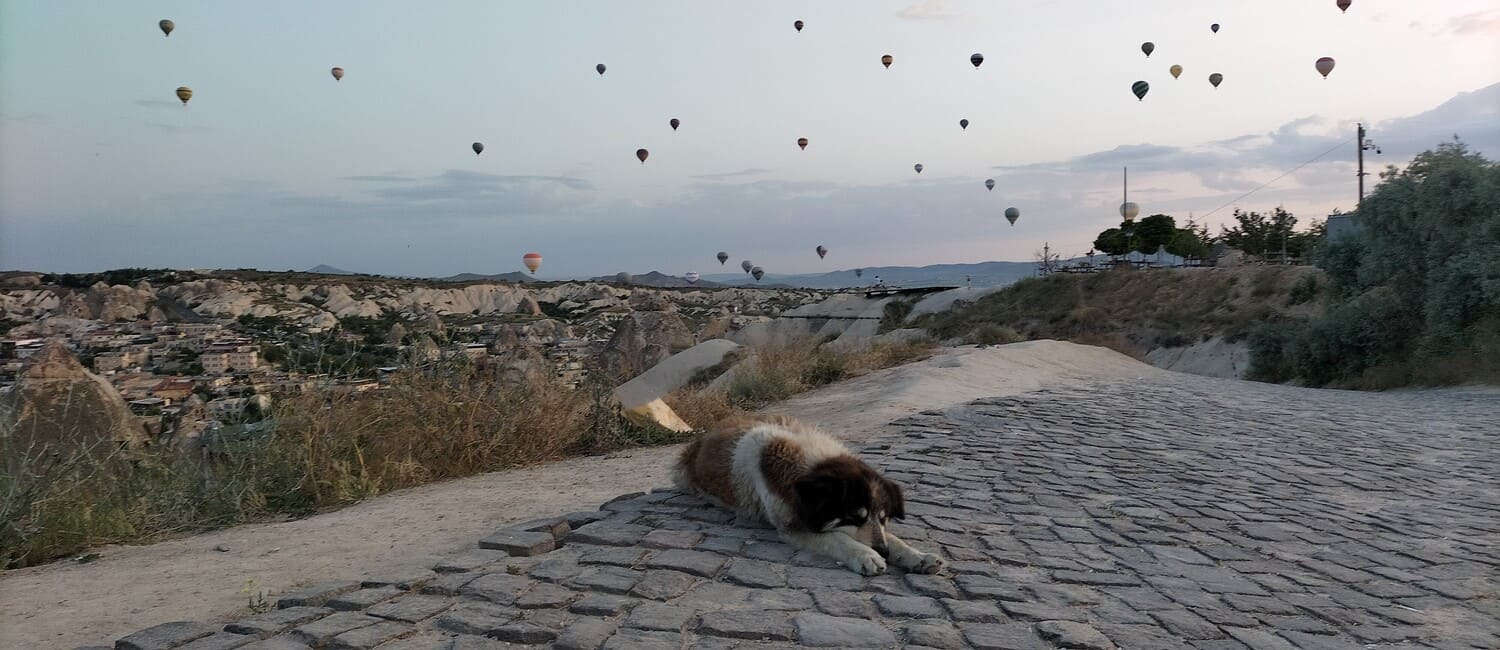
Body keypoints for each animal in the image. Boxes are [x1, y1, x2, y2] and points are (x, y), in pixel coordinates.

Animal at [675, 414, 942, 576]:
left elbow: (894, 539)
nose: (883, 552)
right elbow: (838, 538)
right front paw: (867, 555)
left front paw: (918, 556)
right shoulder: (794, 526)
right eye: (854, 518)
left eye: (884, 518)